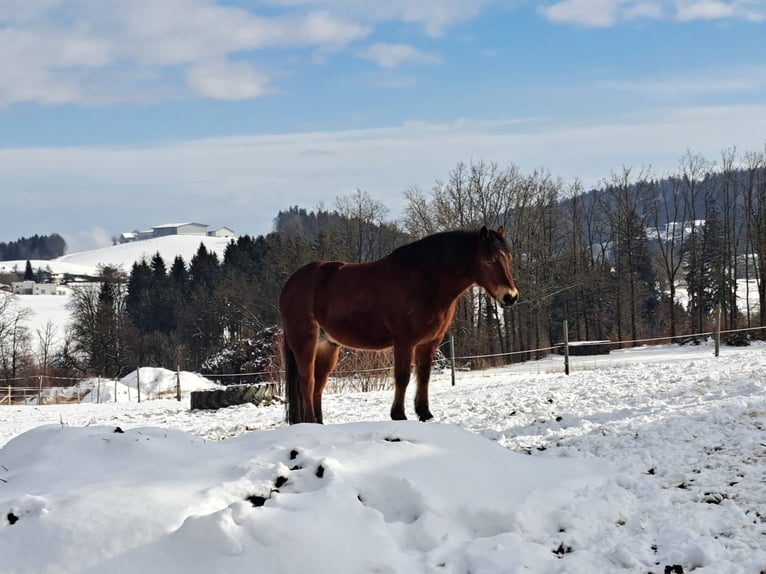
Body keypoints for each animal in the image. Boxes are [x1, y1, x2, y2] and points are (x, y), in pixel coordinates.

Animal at [279, 226, 519, 425]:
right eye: (488, 260)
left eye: (508, 258)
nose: (510, 297)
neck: (425, 280)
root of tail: (291, 283)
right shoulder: (404, 341)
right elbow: (403, 377)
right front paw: (399, 415)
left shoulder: (430, 342)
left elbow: (424, 375)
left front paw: (425, 413)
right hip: (305, 343)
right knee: (307, 382)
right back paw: (310, 421)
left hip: (328, 346)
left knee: (318, 385)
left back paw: (318, 424)